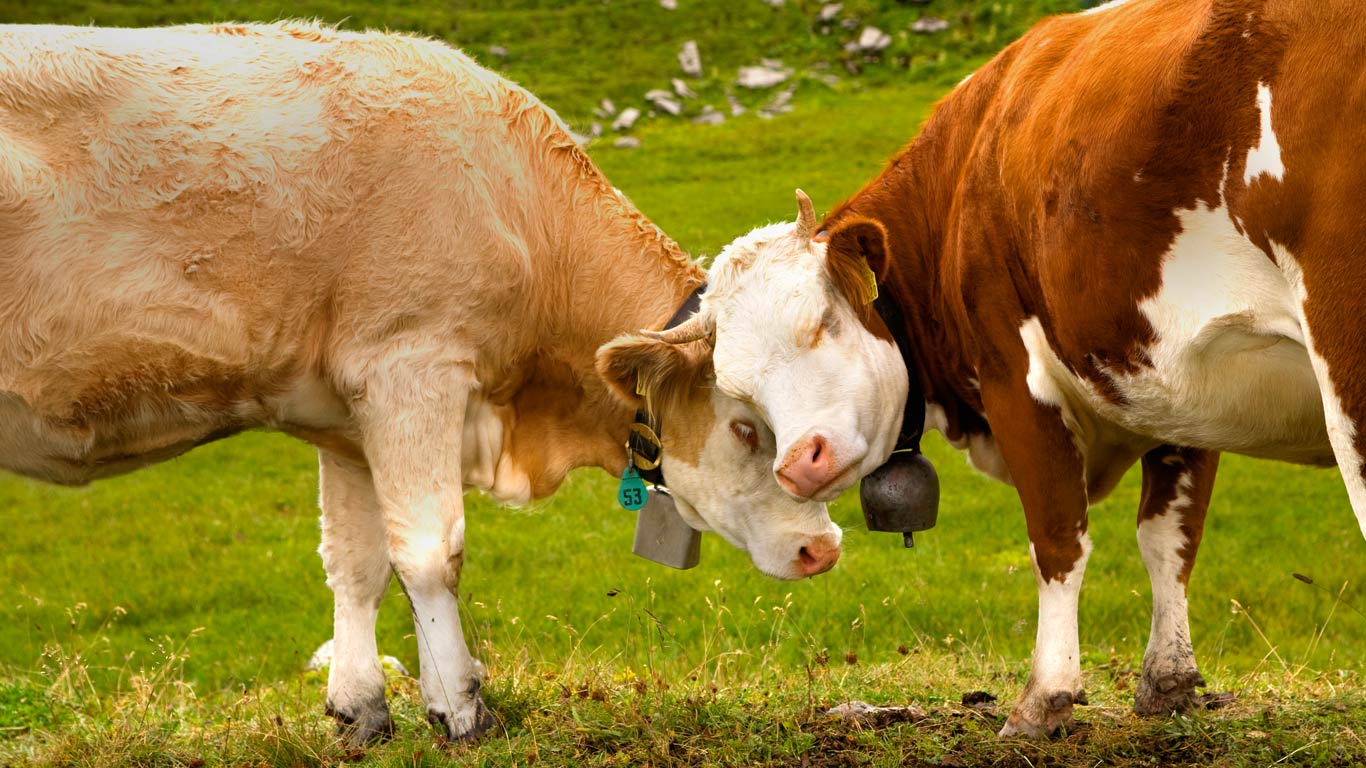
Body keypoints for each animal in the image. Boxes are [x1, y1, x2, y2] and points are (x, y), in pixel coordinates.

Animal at [0, 22, 844, 744]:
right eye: (744, 426)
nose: (823, 549)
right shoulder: (410, 365)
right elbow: (432, 552)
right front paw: (460, 706)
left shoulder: (343, 417)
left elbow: (357, 562)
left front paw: (359, 705)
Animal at [650, 0, 1366, 738]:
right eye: (740, 391)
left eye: (821, 323)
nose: (799, 465)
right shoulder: (1176, 389)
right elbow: (1169, 538)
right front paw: (1169, 682)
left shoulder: (1014, 377)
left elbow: (1057, 537)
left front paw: (1044, 697)